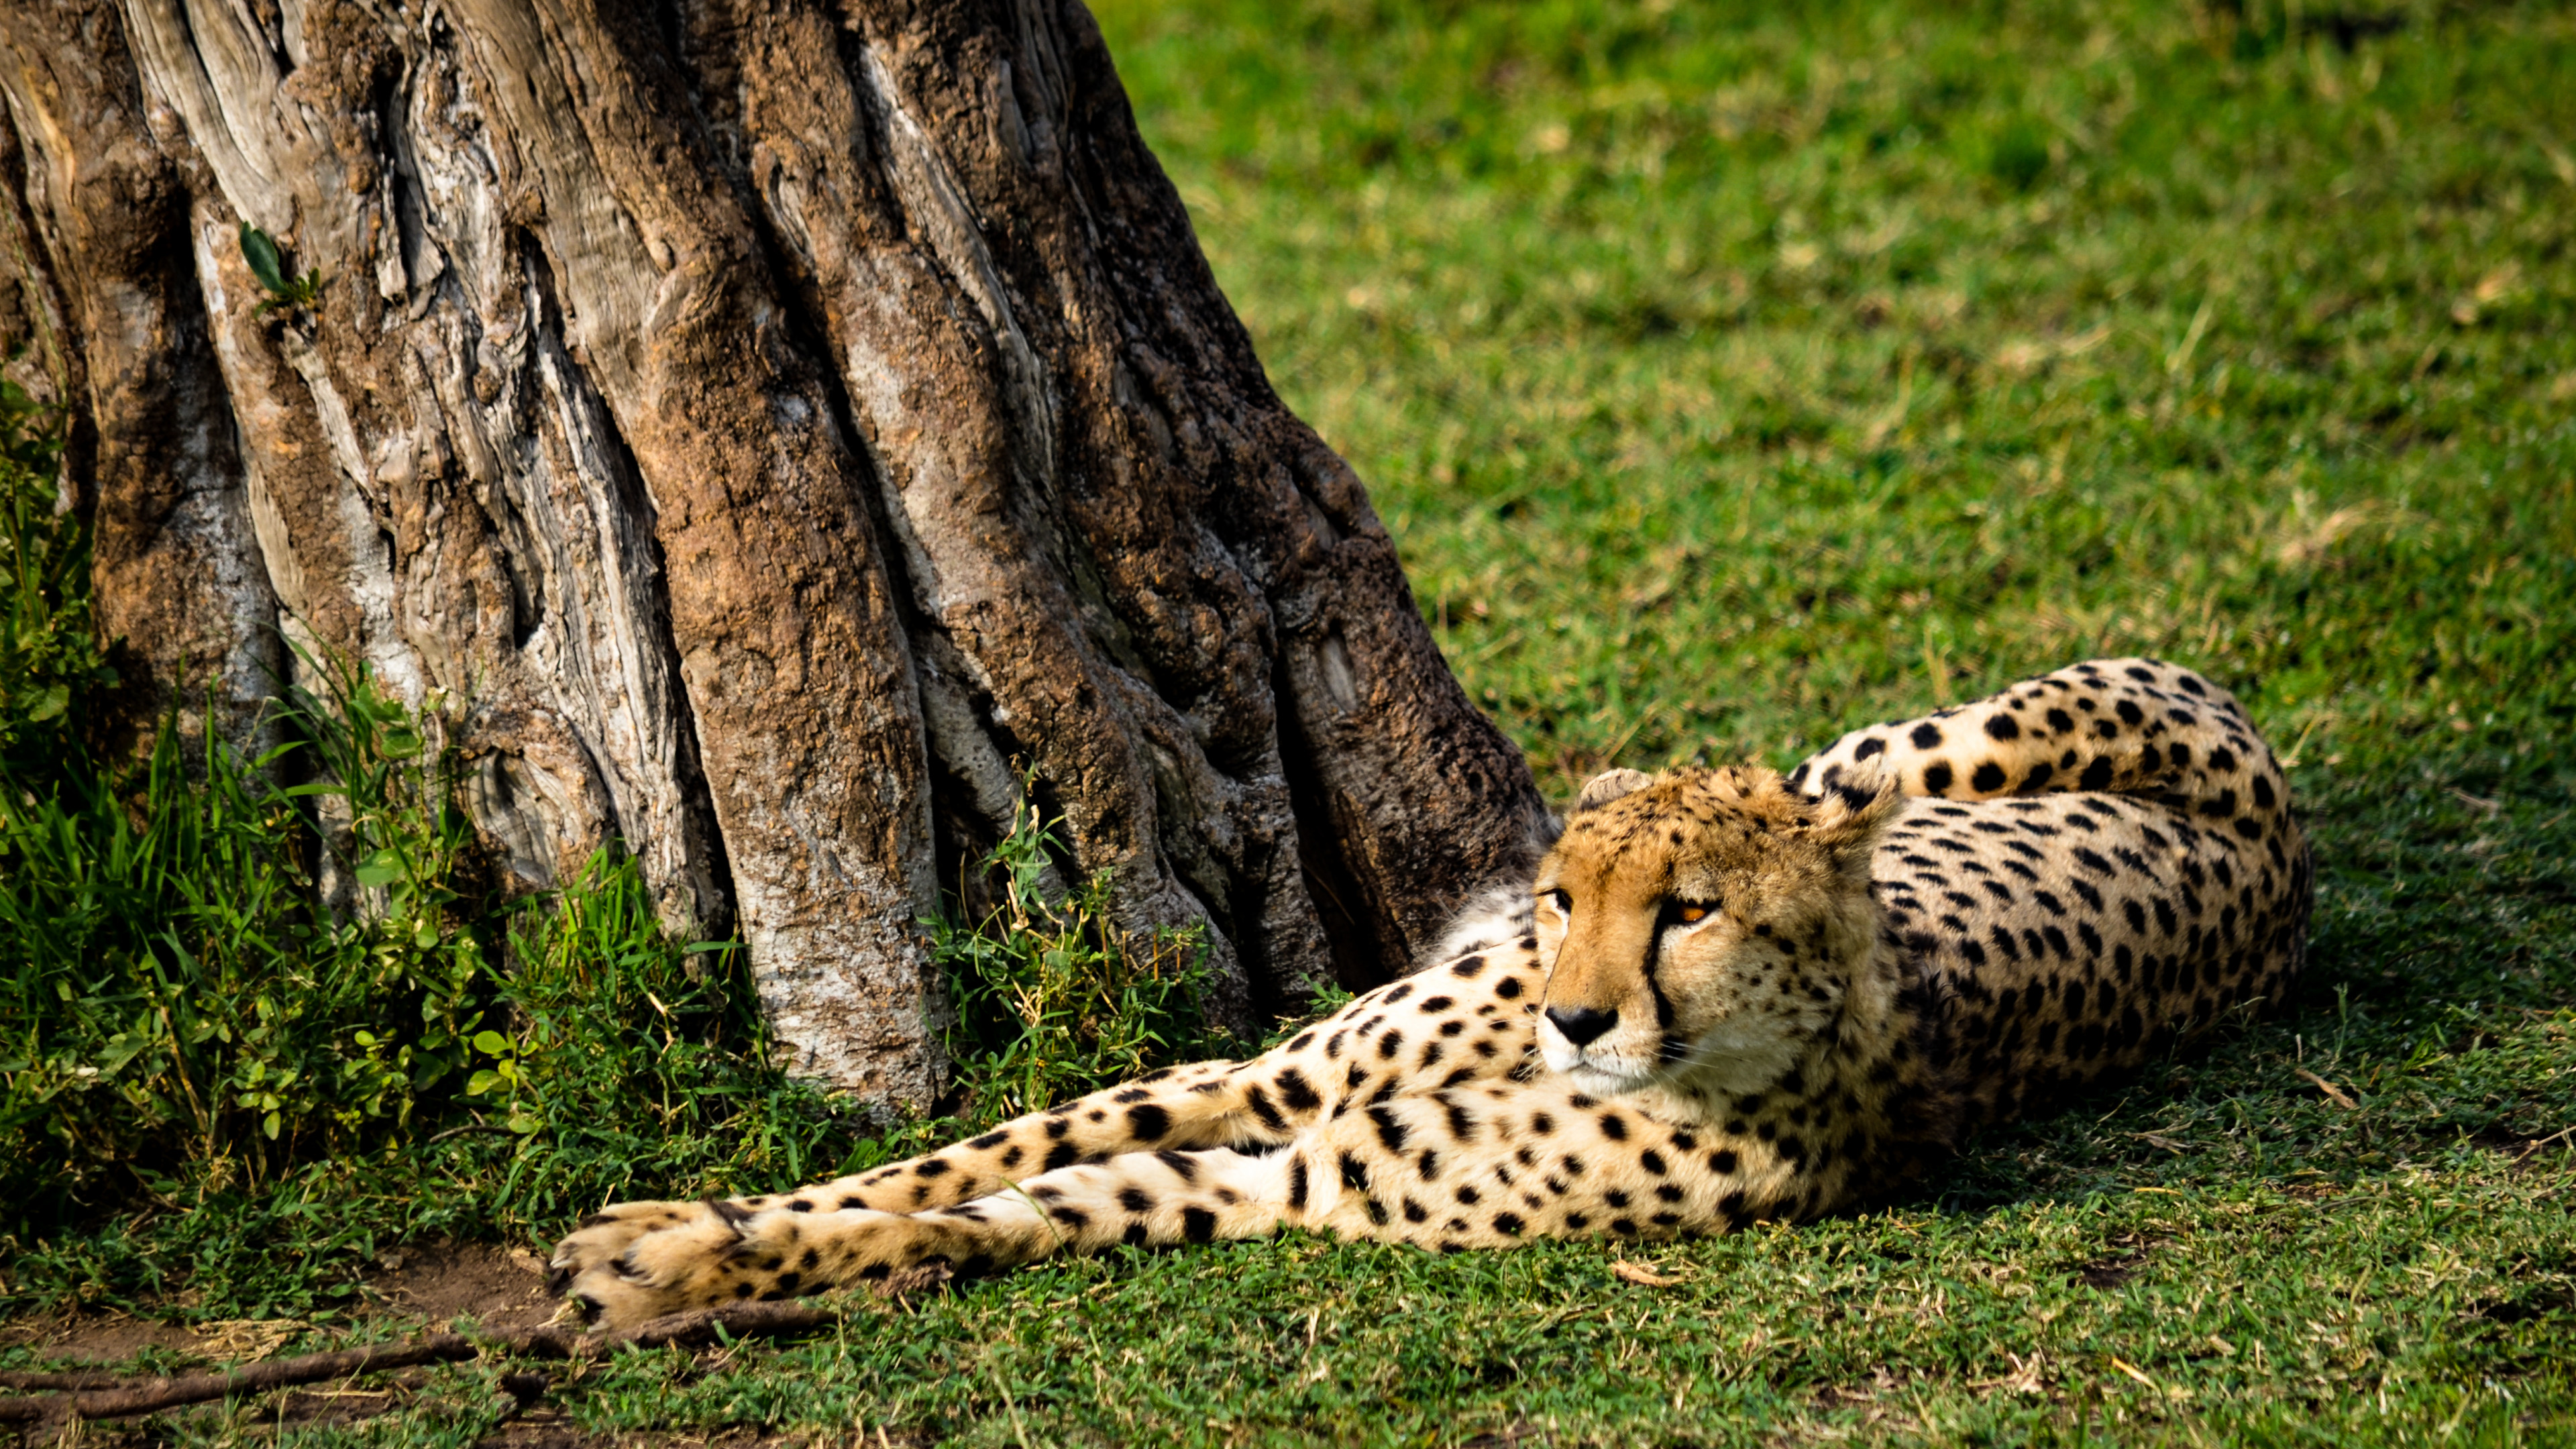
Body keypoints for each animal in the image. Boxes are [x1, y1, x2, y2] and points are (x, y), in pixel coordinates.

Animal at [547, 657, 2311, 1328]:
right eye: (1571, 896)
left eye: (1691, 911)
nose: (1574, 1013)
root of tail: (2287, 859)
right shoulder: (1266, 1082)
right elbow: (976, 1151)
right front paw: (668, 1228)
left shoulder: (1298, 1172)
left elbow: (1032, 1207)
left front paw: (666, 1271)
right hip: (1894, 750)